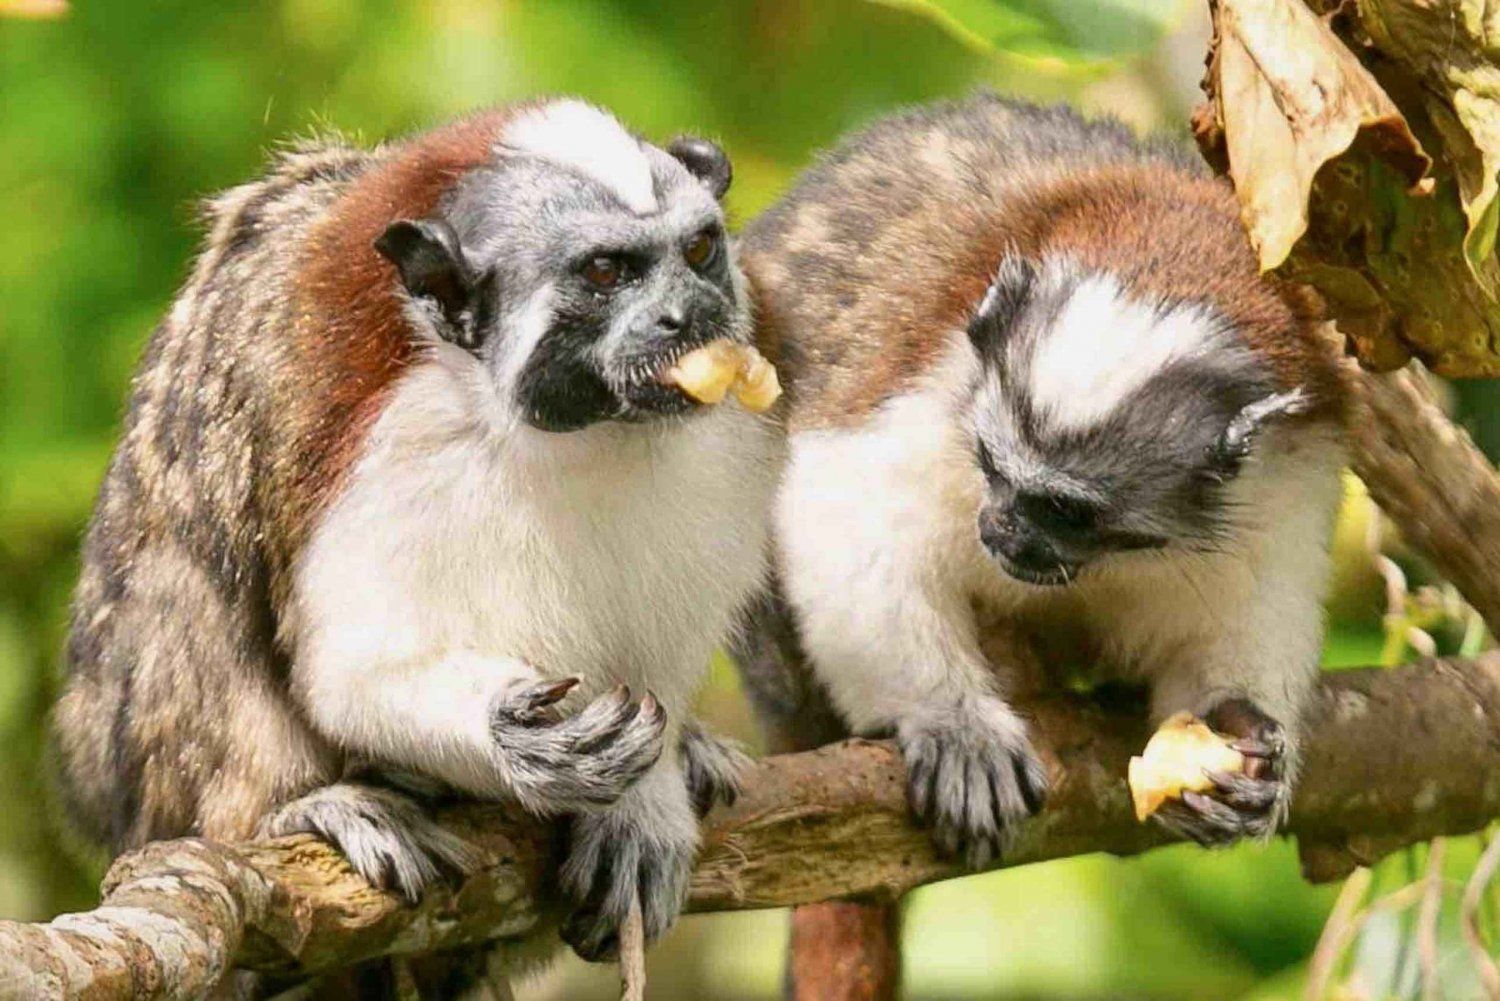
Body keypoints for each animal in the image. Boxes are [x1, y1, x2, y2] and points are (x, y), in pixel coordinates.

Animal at [52, 97, 780, 966]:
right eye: (606, 273)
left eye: (699, 251)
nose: (690, 314)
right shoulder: (396, 453)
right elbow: (351, 674)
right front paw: (509, 738)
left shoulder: (723, 447)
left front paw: (646, 802)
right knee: (187, 586)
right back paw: (299, 806)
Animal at [738, 96, 1350, 870]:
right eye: (993, 466)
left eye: (1068, 512)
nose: (1003, 532)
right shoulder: (927, 376)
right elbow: (841, 517)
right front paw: (950, 719)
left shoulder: (1288, 470)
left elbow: (1252, 610)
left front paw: (1235, 730)